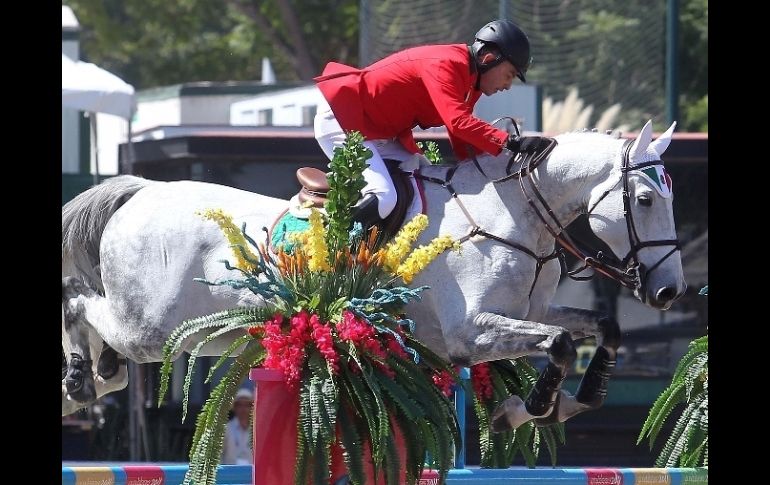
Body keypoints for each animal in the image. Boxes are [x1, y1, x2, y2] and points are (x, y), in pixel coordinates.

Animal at [61, 118, 684, 432]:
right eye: (645, 199)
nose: (669, 291)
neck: (510, 214)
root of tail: (142, 190)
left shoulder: (528, 313)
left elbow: (599, 329)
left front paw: (575, 400)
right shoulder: (472, 332)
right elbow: (558, 344)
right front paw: (524, 409)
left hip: (192, 331)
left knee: (110, 359)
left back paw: (89, 380)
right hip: (152, 325)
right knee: (79, 303)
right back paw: (77, 376)